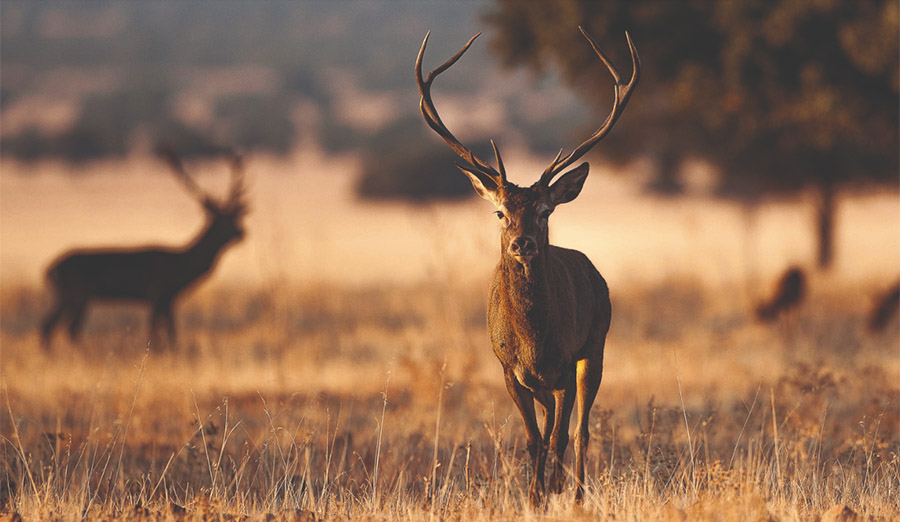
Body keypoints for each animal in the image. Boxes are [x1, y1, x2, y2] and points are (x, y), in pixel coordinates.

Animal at [40, 150, 248, 351]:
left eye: (235, 216)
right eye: (223, 219)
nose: (242, 232)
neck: (181, 267)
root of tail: (50, 269)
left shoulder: (168, 300)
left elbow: (171, 333)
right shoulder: (156, 292)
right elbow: (156, 330)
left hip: (65, 296)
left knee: (48, 326)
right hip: (78, 292)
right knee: (69, 329)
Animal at [415, 27, 639, 505]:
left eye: (545, 210)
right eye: (500, 211)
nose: (523, 244)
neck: (534, 341)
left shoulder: (566, 361)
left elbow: (560, 436)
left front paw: (556, 490)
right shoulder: (508, 368)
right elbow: (534, 438)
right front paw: (533, 496)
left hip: (596, 344)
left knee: (581, 429)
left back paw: (576, 492)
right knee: (554, 422)